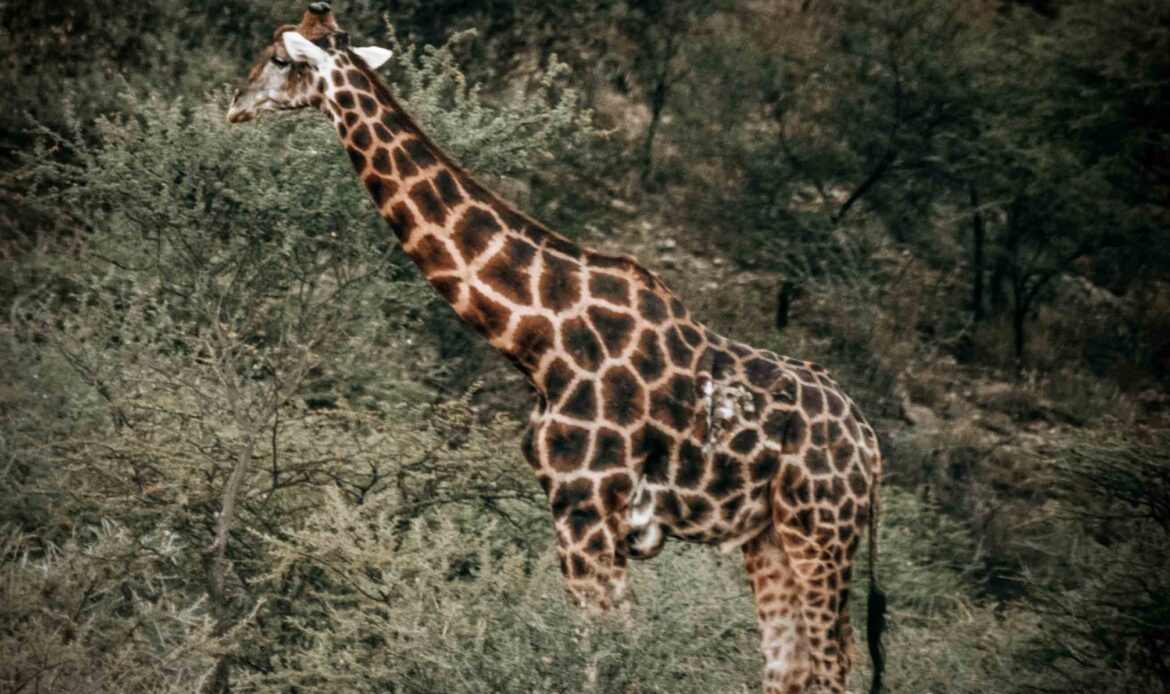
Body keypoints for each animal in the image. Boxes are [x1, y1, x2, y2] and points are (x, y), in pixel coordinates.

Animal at [227, 5, 887, 693]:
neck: (537, 337)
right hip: (771, 537)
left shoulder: (587, 506)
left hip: (820, 532)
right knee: (789, 664)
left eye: (279, 58)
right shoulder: (587, 514)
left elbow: (603, 653)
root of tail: (870, 446)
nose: (234, 105)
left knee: (834, 659)